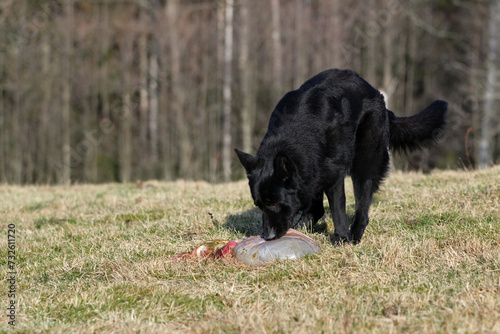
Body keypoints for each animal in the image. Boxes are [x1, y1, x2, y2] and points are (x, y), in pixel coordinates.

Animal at [236, 69, 448, 244]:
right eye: (259, 205)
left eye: (274, 203)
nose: (268, 237)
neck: (295, 132)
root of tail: (376, 94)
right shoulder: (312, 172)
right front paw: (303, 230)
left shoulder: (333, 175)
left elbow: (338, 208)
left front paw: (341, 238)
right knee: (317, 208)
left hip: (364, 163)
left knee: (362, 204)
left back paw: (354, 235)